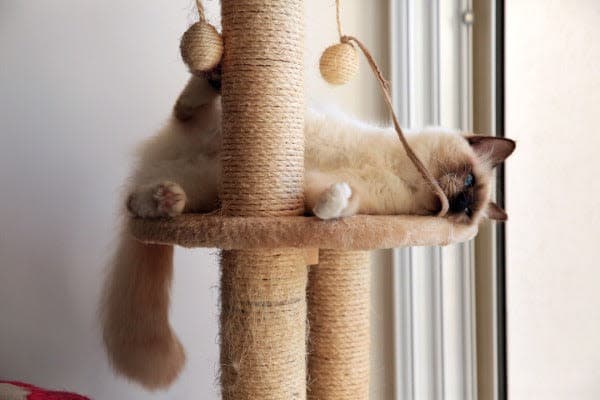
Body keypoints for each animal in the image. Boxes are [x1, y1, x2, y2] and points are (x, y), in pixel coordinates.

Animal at [101, 73, 512, 390]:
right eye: (469, 182)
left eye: (468, 213)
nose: (459, 205)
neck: (402, 177)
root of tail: (152, 166)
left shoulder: (339, 190)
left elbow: (328, 203)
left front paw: (333, 204)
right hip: (203, 147)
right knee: (186, 110)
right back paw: (207, 78)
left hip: (202, 193)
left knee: (138, 201)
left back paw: (165, 200)